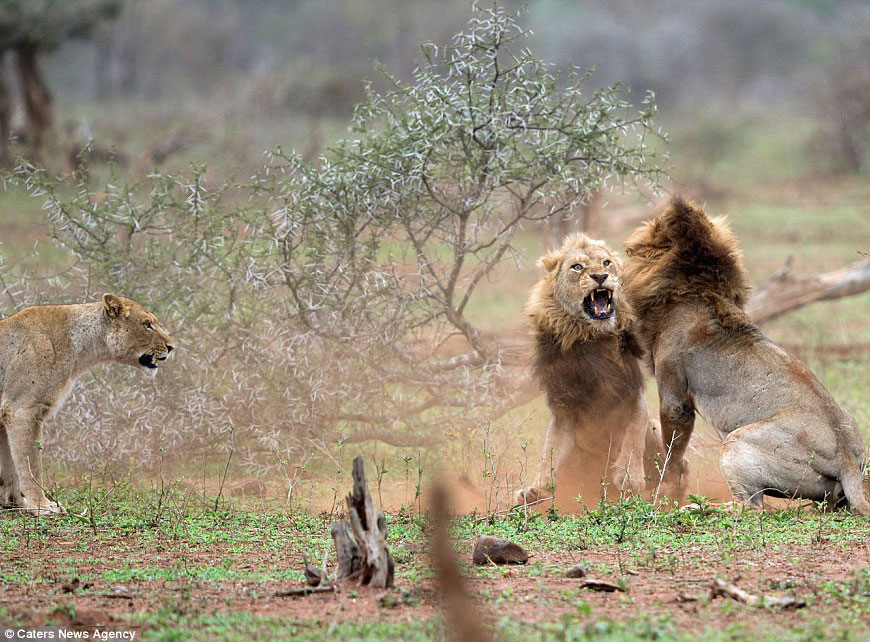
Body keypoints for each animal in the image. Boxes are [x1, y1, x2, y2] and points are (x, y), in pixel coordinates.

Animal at [0, 292, 174, 512]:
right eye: (147, 324)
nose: (171, 347)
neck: (81, 348)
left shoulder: (6, 415)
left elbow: (9, 467)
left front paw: (15, 502)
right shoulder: (22, 409)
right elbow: (30, 463)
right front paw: (42, 505)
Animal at [516, 232, 660, 508]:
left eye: (606, 263)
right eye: (577, 267)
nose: (600, 277)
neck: (593, 336)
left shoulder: (633, 391)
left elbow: (634, 436)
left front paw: (630, 477)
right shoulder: (564, 405)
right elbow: (549, 451)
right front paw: (536, 488)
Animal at [628, 195, 870, 510]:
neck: (699, 291)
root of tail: (847, 461)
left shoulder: (675, 396)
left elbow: (671, 453)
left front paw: (663, 493)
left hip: (736, 442)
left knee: (751, 507)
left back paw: (701, 507)